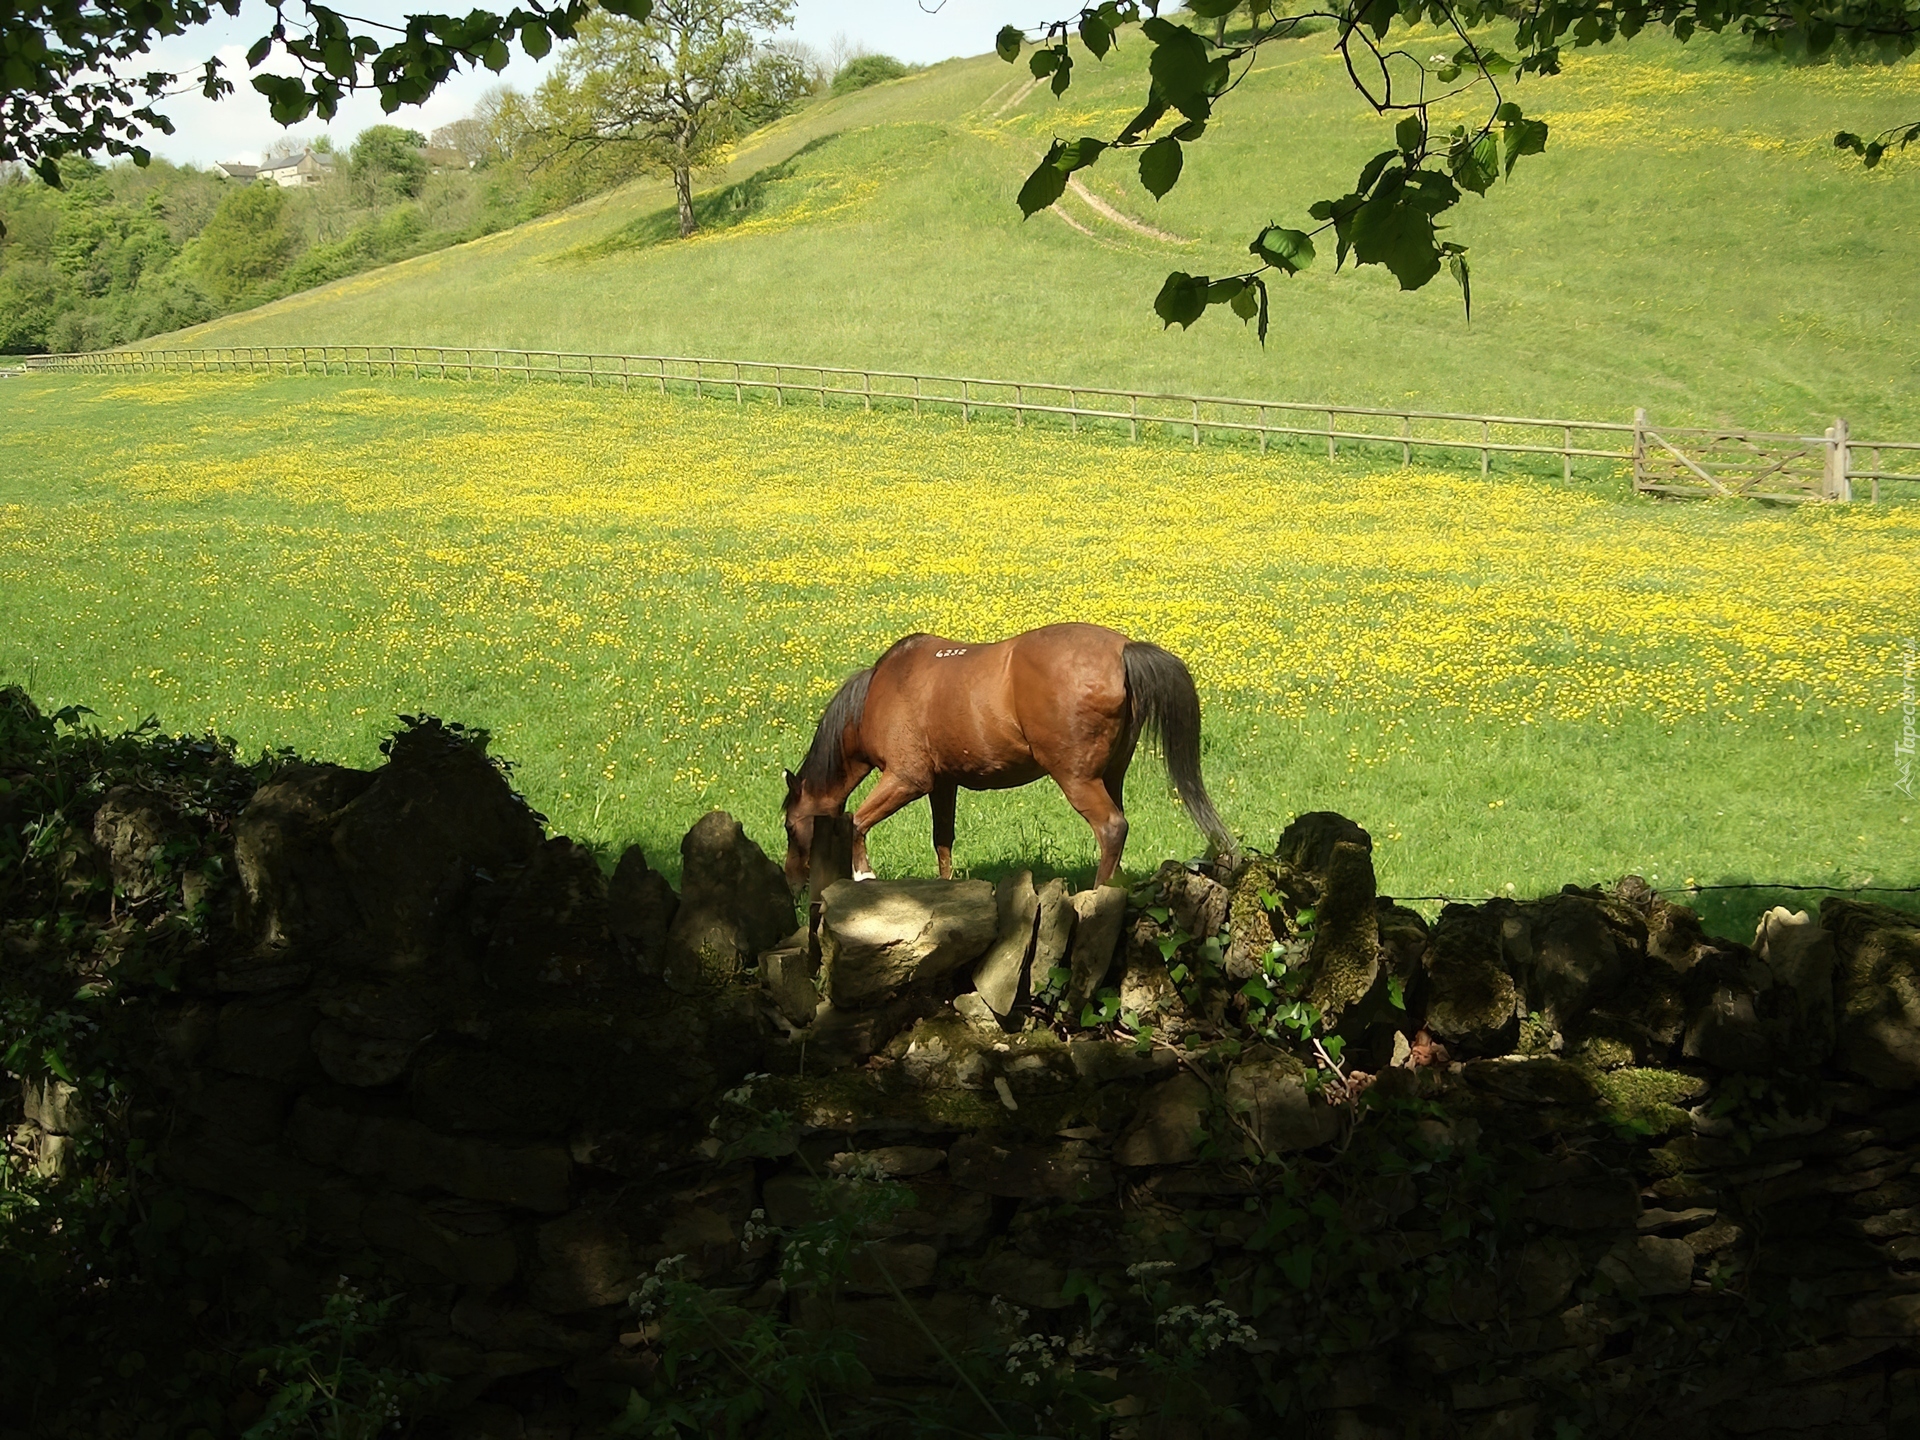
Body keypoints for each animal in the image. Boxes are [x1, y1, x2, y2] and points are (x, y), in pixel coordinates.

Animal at [779, 629, 1228, 898]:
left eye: (789, 827)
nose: (793, 883)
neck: (880, 690)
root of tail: (1122, 650)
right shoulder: (943, 784)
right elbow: (943, 841)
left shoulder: (907, 779)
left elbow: (857, 823)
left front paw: (863, 876)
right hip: (1110, 775)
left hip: (1077, 779)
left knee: (1111, 828)